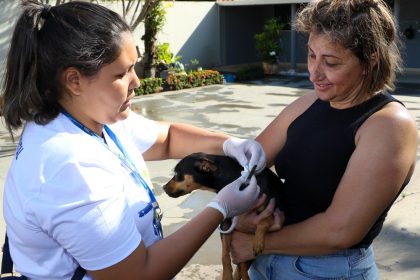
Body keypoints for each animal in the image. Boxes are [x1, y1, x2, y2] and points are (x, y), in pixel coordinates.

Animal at [162, 152, 284, 280]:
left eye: (177, 174)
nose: (163, 188)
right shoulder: (225, 224)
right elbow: (224, 254)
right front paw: (226, 275)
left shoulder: (275, 212)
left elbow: (263, 221)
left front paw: (258, 242)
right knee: (241, 268)